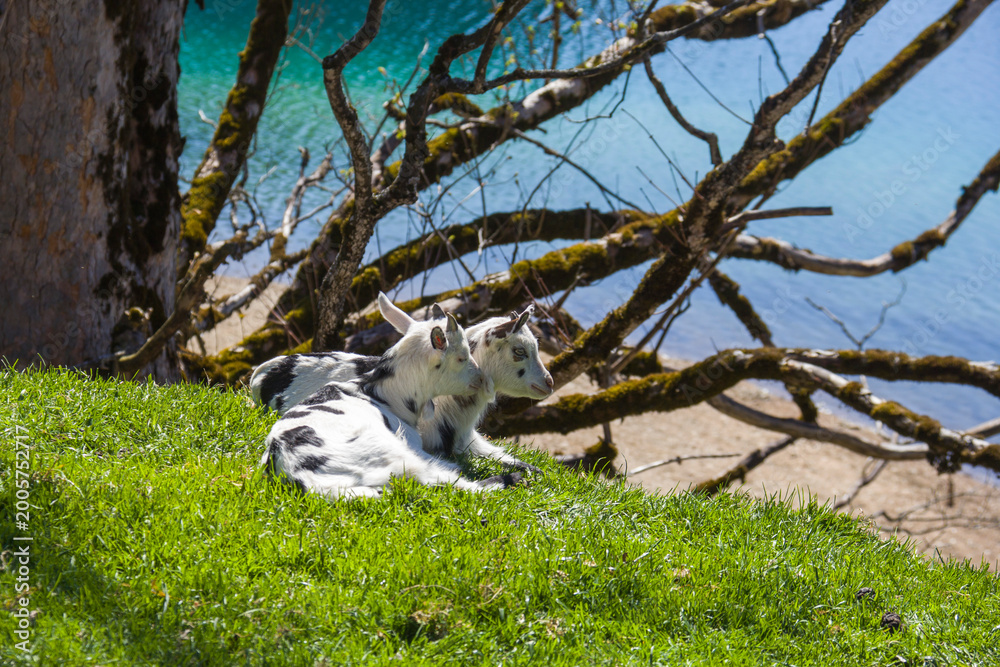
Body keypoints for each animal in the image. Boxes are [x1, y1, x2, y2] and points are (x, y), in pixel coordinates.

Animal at [261, 293, 521, 499]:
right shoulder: (413, 446)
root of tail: (301, 474)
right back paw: (512, 479)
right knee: (448, 482)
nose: (480, 379)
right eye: (461, 357)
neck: (384, 396)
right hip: (392, 453)